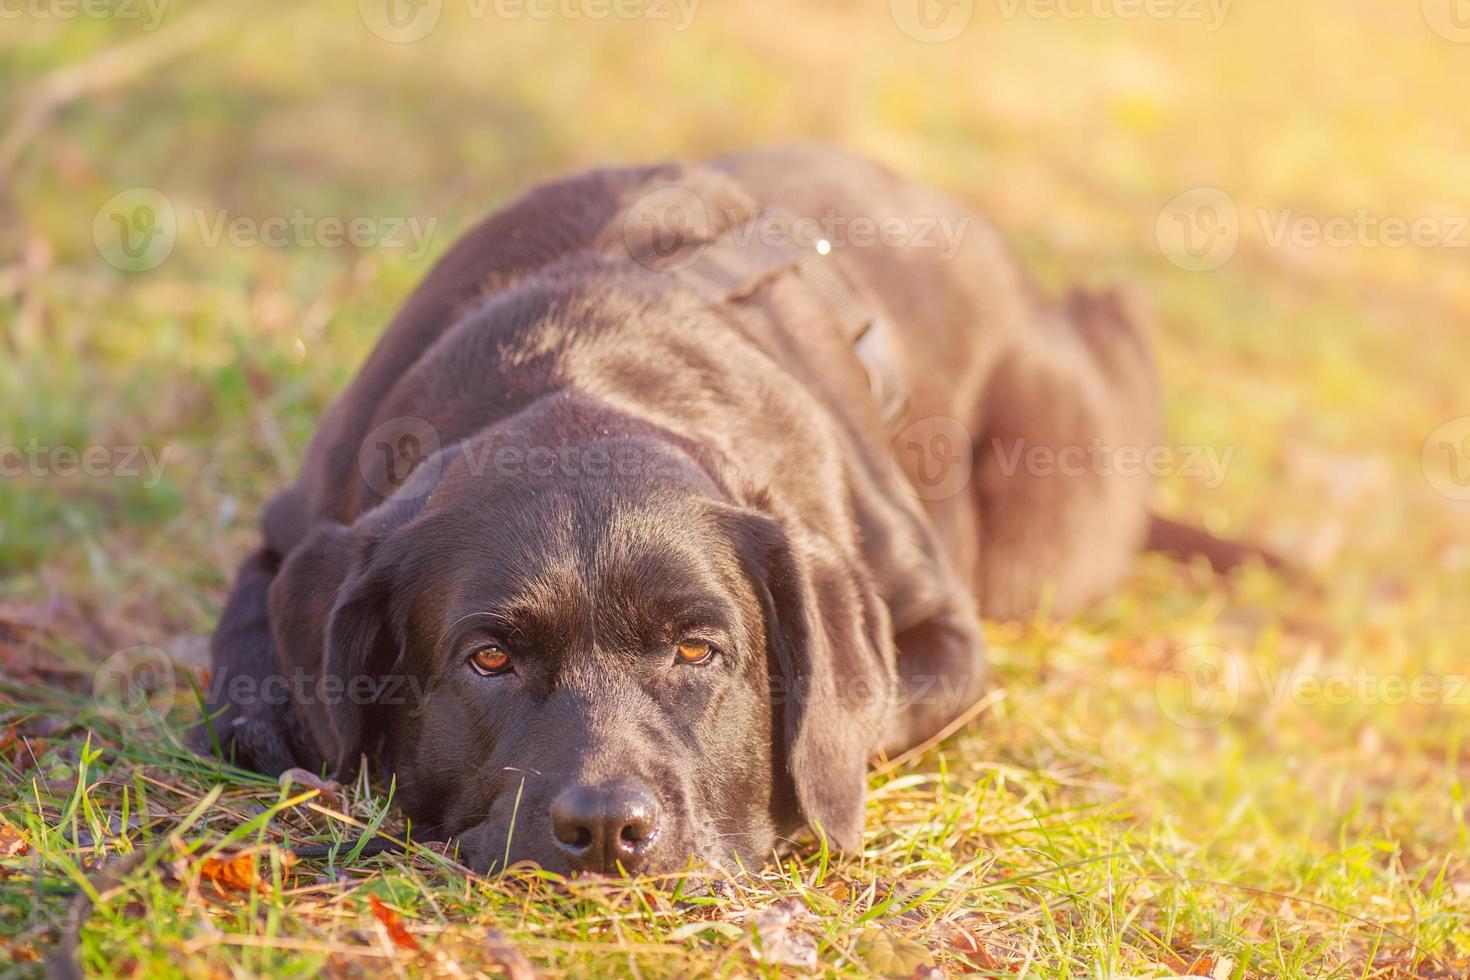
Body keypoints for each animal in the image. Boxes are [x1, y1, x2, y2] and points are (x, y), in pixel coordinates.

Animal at [192, 143, 1252, 875]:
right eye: (488, 659)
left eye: (699, 652)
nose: (608, 829)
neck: (583, 362)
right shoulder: (295, 540)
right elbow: (246, 671)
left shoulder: (942, 627)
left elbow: (865, 724)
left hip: (1054, 525)